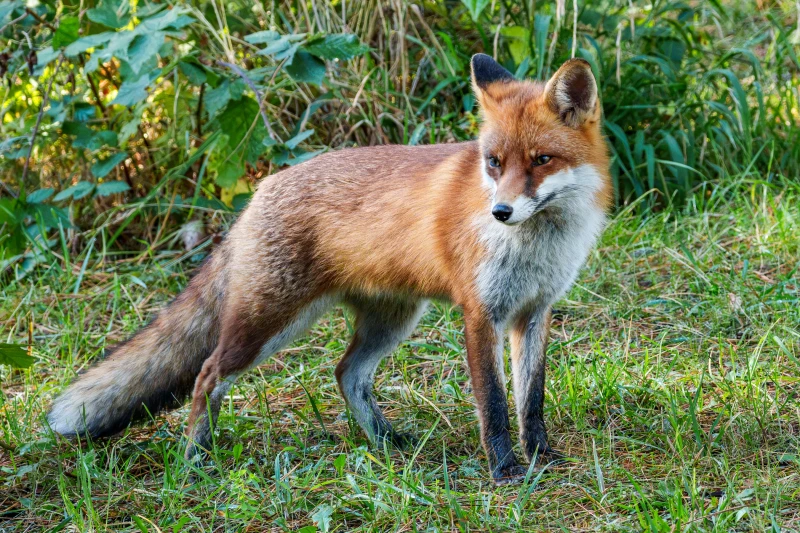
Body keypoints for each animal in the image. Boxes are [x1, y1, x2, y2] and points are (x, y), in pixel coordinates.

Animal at [47, 54, 612, 485]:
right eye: (494, 162)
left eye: (541, 160)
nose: (500, 212)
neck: (538, 244)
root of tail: (258, 194)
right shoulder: (481, 314)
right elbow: (493, 405)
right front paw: (505, 470)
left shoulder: (534, 312)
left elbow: (530, 400)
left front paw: (540, 455)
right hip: (268, 324)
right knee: (207, 375)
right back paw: (196, 459)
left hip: (392, 320)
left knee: (346, 374)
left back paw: (386, 441)